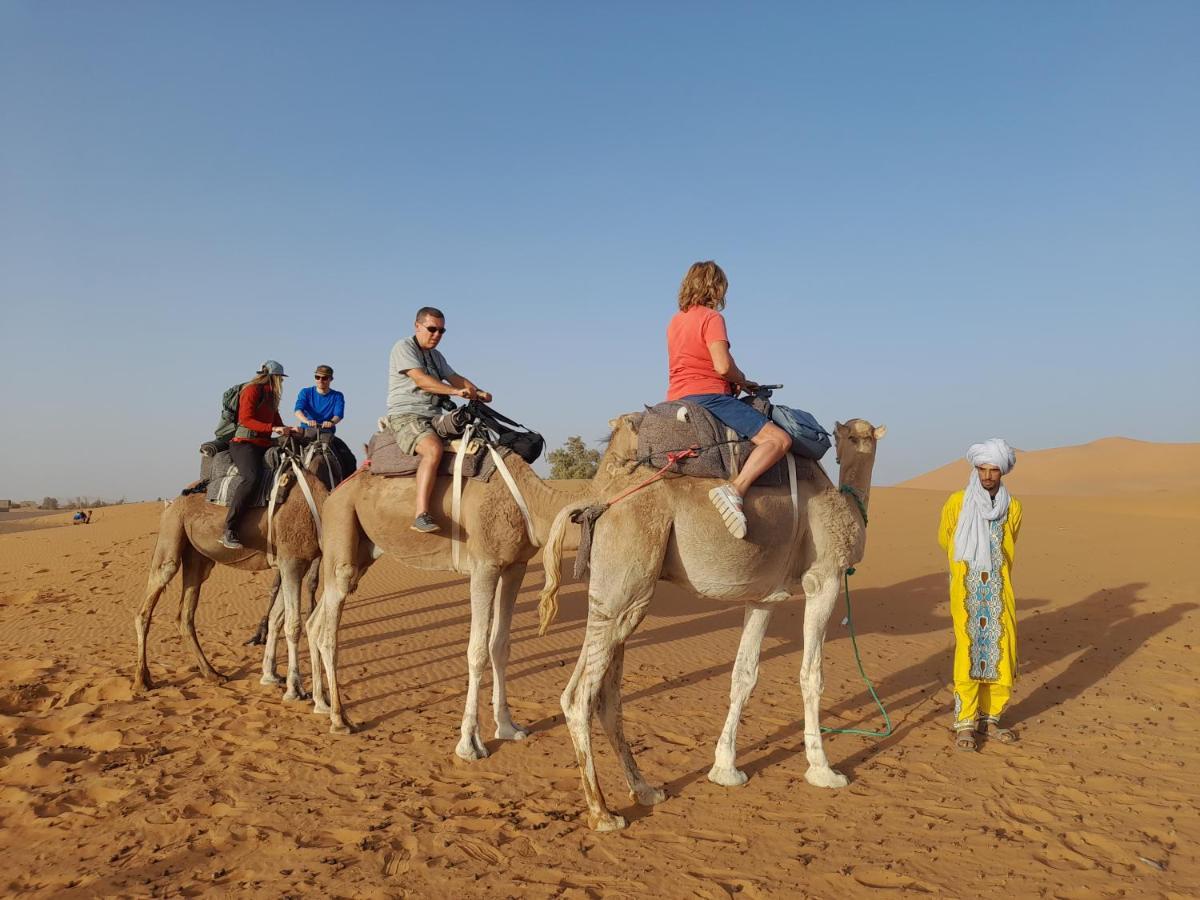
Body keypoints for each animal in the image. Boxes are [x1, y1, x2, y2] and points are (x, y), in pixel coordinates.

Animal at [133, 451, 331, 705]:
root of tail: (173, 502)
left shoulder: (293, 564)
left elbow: (277, 618)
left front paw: (272, 676)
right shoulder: (292, 561)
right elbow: (293, 624)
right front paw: (295, 690)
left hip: (197, 558)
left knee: (185, 615)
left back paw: (212, 674)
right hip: (171, 531)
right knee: (148, 605)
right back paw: (142, 681)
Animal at [300, 448, 600, 753]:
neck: (531, 502)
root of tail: (333, 494)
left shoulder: (515, 566)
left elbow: (500, 647)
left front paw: (508, 727)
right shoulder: (484, 566)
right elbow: (477, 652)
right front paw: (470, 744)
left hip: (363, 550)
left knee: (315, 621)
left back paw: (321, 704)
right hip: (342, 521)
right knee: (328, 632)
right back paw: (340, 719)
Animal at [540, 415, 888, 830]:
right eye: (851, 435)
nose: (859, 440)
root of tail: (600, 503)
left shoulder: (764, 597)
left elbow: (744, 675)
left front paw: (725, 769)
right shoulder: (825, 578)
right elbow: (811, 675)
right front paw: (824, 771)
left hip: (618, 593)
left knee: (605, 696)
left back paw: (645, 790)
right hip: (626, 580)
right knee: (579, 697)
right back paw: (603, 813)